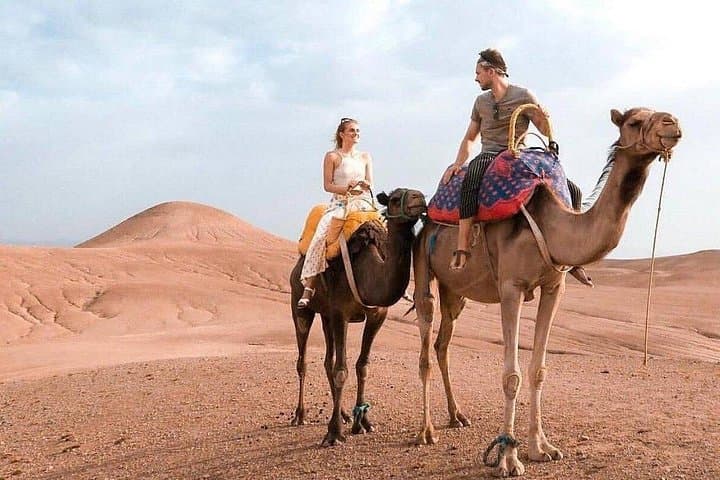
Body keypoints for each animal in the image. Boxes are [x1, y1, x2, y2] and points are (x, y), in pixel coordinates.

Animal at [290, 188, 427, 446]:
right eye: (395, 199)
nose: (420, 198)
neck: (368, 270)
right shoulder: (340, 313)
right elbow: (341, 370)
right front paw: (334, 434)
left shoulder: (376, 315)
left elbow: (362, 366)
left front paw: (363, 422)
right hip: (300, 306)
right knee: (303, 360)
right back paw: (300, 416)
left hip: (326, 315)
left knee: (328, 360)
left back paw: (343, 413)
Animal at [412, 108, 681, 476]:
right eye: (635, 121)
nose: (673, 124)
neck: (553, 226)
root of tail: (428, 217)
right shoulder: (511, 287)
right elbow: (511, 375)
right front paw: (508, 458)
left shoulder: (555, 287)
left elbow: (539, 370)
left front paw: (541, 448)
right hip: (423, 263)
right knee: (425, 344)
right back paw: (426, 431)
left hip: (455, 291)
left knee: (443, 344)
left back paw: (457, 416)